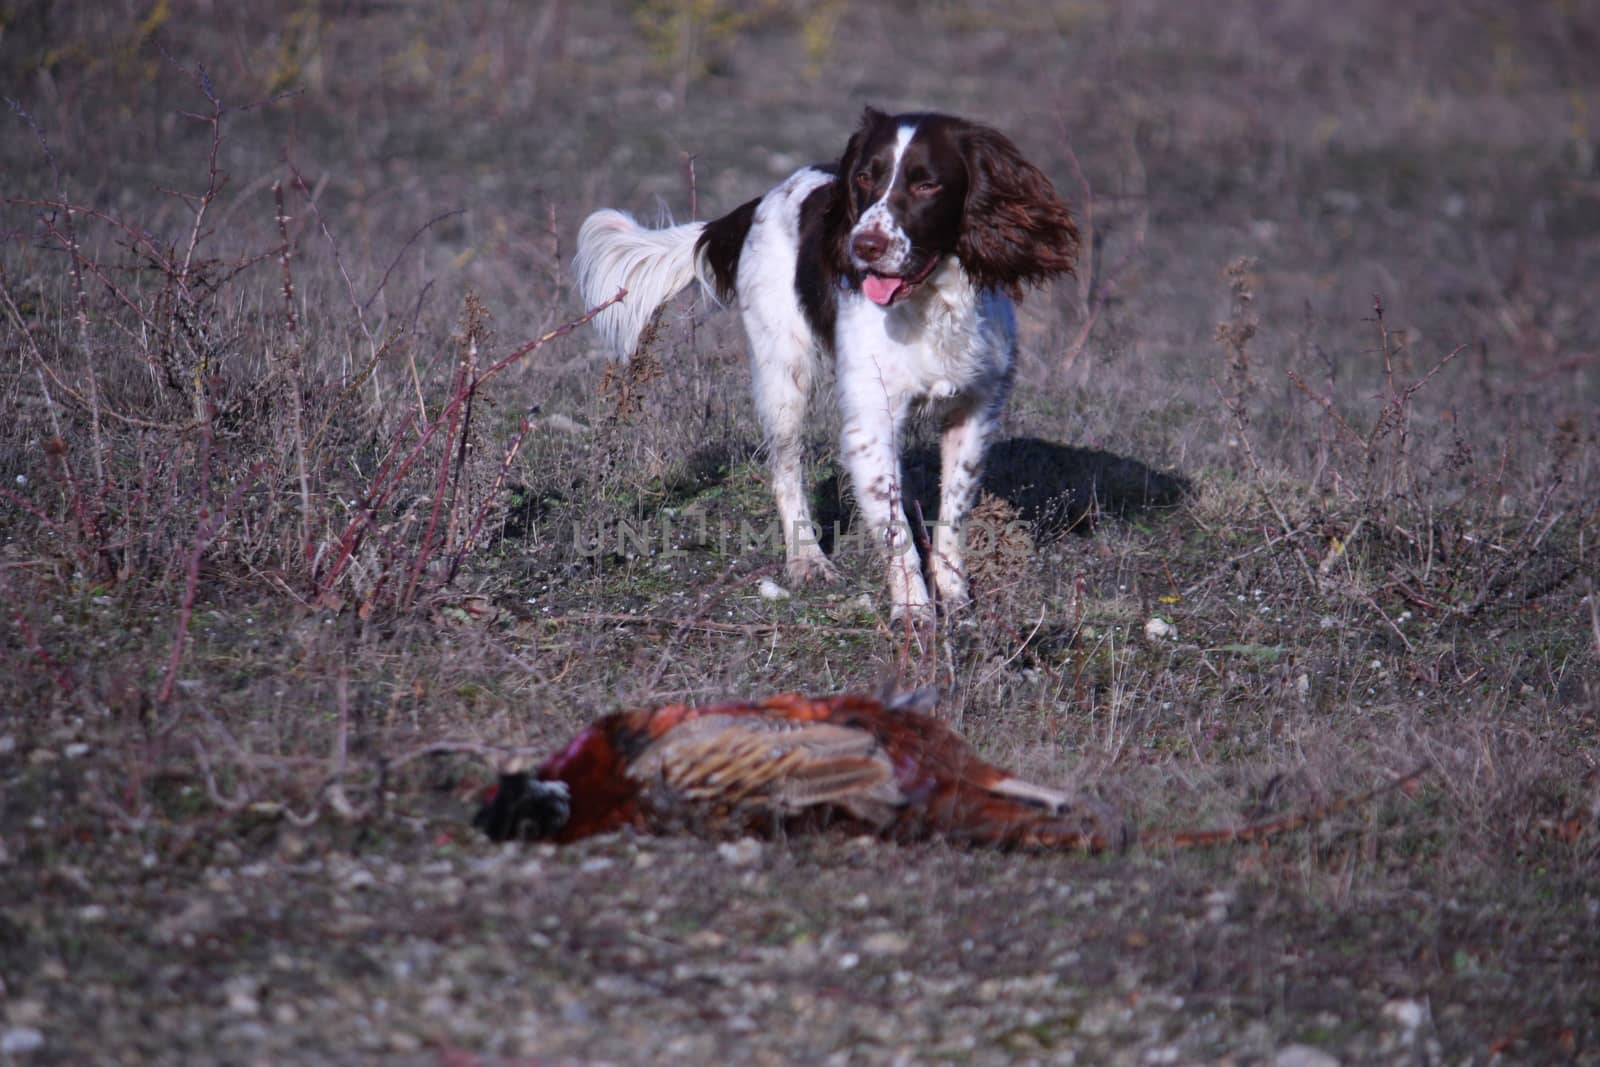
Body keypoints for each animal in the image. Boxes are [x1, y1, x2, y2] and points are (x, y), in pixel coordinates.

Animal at [572, 108, 1075, 620]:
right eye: (866, 178)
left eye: (926, 184)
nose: (864, 245)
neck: (933, 302)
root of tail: (762, 201)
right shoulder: (872, 422)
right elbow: (895, 528)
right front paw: (913, 612)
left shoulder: (976, 411)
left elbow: (953, 511)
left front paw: (953, 598)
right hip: (783, 377)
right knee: (786, 471)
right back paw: (807, 561)